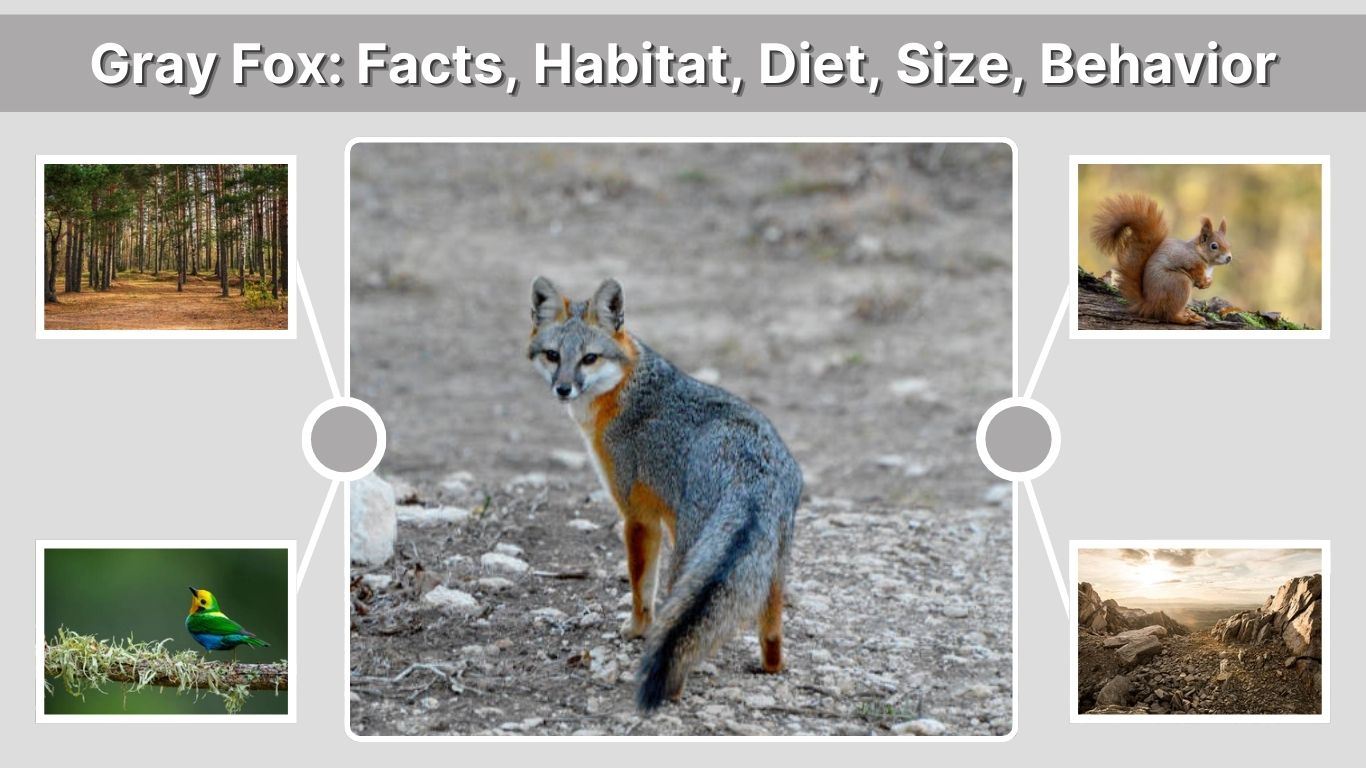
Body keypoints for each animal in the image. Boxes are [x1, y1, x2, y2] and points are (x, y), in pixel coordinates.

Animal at [527, 276, 802, 712]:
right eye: (553, 355)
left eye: (589, 358)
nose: (564, 388)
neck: (627, 386)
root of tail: (753, 467)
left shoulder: (637, 517)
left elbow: (642, 589)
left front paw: (637, 630)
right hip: (772, 566)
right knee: (772, 632)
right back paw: (770, 666)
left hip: (687, 555)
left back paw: (669, 689)